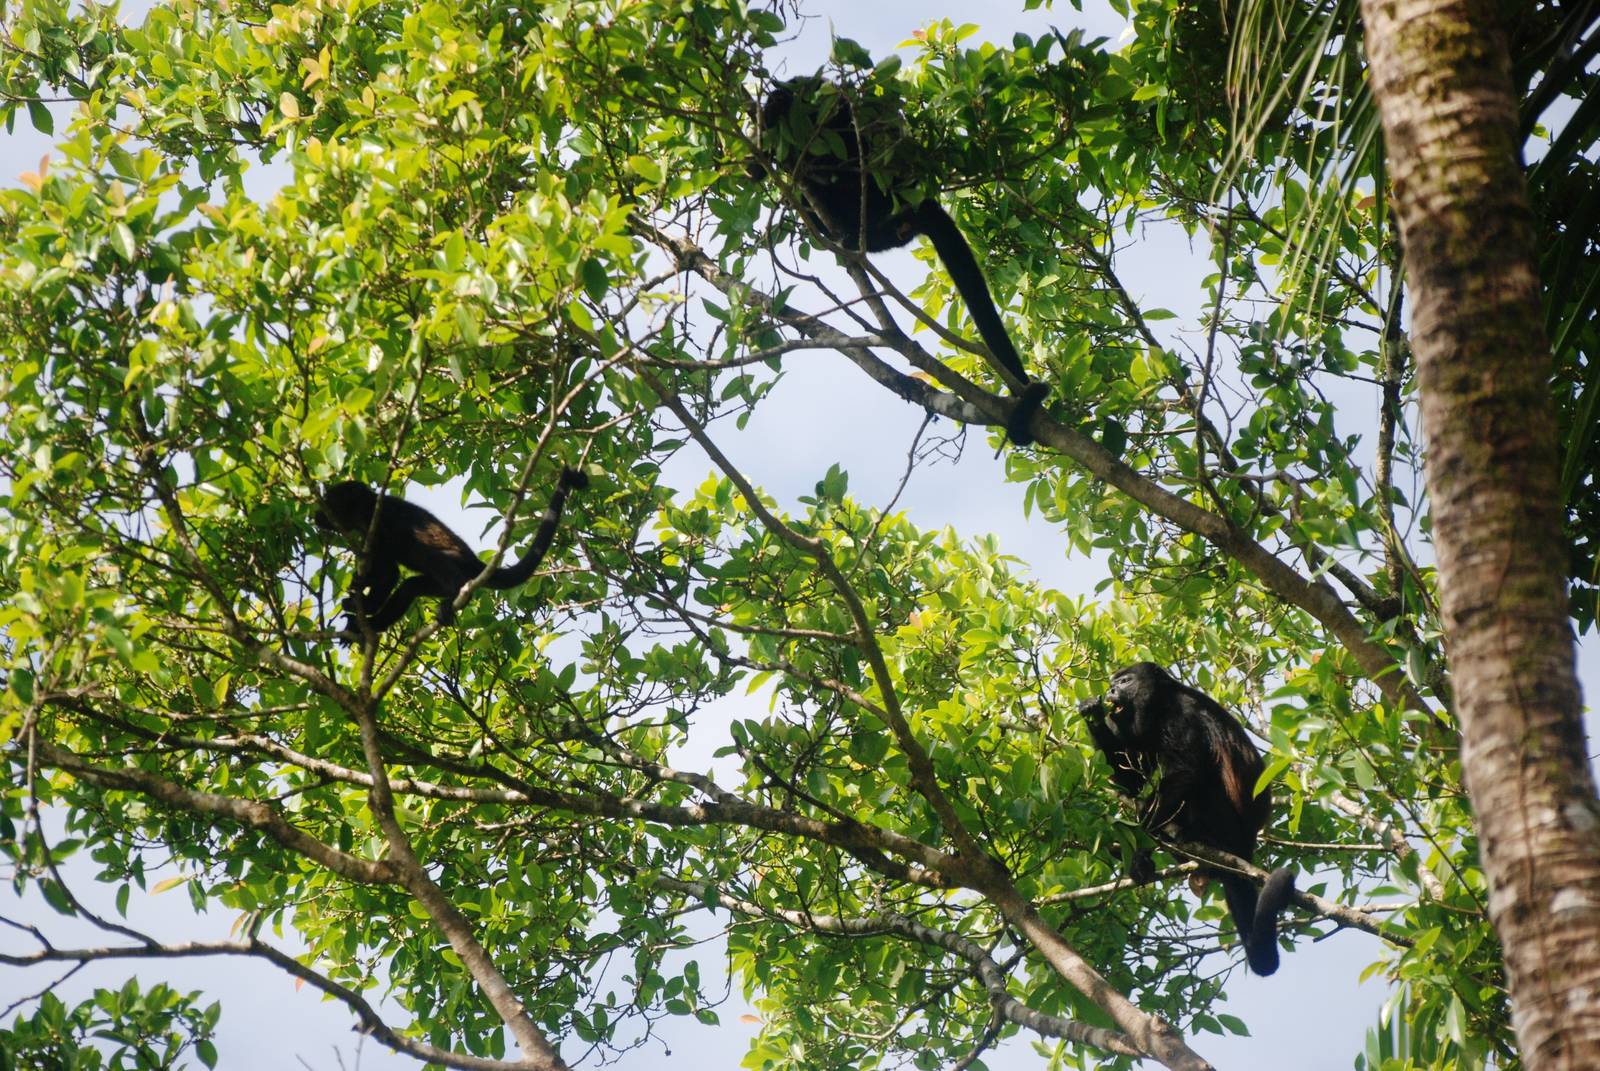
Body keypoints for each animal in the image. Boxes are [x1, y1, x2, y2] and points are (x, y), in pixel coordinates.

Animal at [316, 467, 588, 641]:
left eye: (329, 500)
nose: (317, 515)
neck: (365, 510)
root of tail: (474, 562)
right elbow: (375, 569)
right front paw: (356, 593)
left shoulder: (381, 522)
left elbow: (388, 573)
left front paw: (365, 605)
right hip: (435, 584)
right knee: (410, 588)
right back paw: (370, 626)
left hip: (457, 565)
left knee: (431, 557)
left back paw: (454, 595)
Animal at [1078, 661, 1296, 976]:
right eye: (1113, 683)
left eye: (1125, 681)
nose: (1111, 691)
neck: (1158, 706)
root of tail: (1246, 846)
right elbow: (1132, 781)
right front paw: (1092, 713)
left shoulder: (1183, 714)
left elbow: (1185, 771)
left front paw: (1140, 842)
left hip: (1228, 825)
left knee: (1203, 780)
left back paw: (1201, 839)